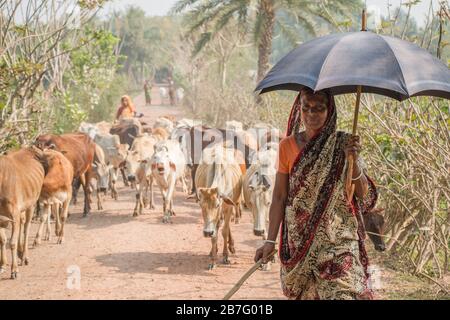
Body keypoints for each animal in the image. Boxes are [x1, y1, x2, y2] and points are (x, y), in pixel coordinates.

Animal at [0, 147, 46, 278]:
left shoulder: (13, 214)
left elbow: (12, 242)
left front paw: (14, 270)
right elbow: (2, 240)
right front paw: (2, 265)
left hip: (31, 205)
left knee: (26, 228)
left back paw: (24, 256)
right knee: (22, 223)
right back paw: (20, 253)